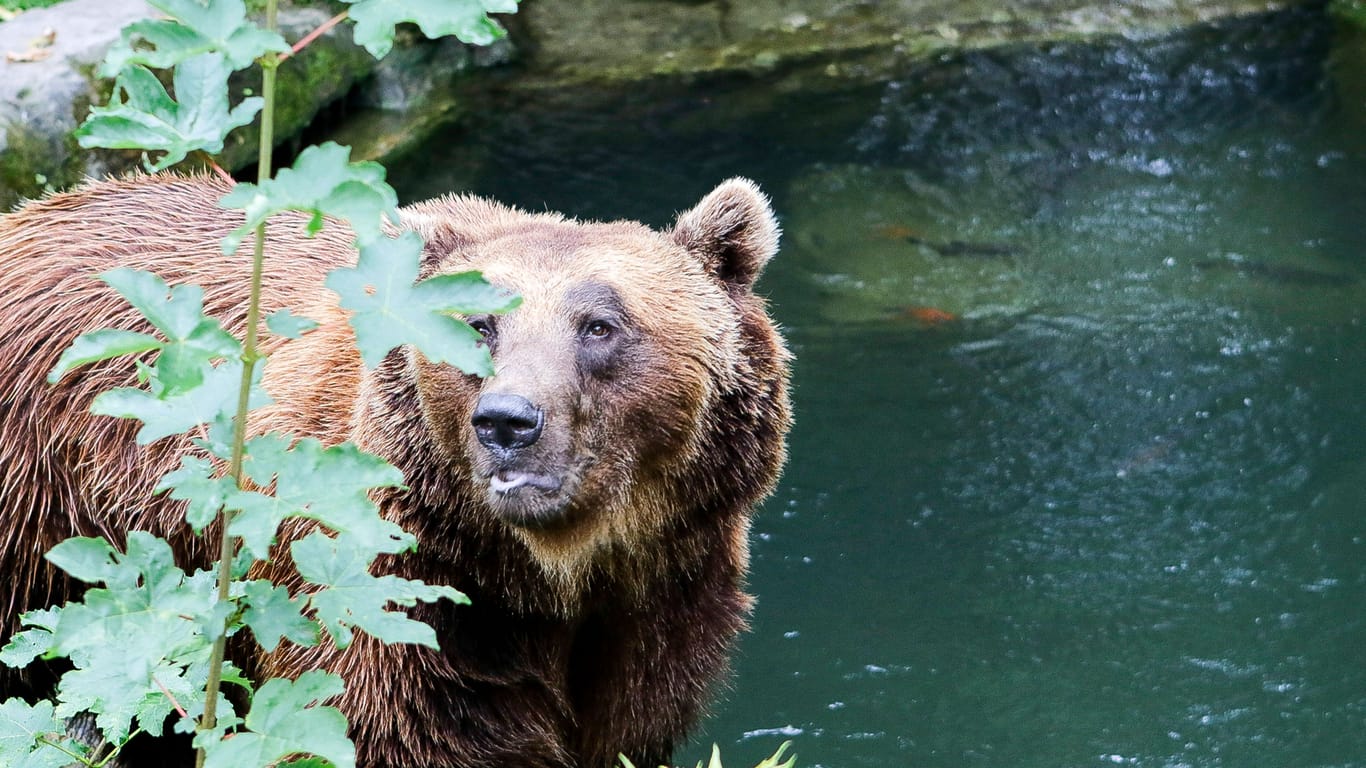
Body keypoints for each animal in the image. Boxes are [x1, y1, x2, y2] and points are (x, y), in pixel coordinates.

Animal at [0, 173, 792, 765]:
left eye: (600, 324)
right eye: (478, 323)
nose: (507, 421)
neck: (549, 572)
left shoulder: (664, 596)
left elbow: (628, 726)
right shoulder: (391, 598)